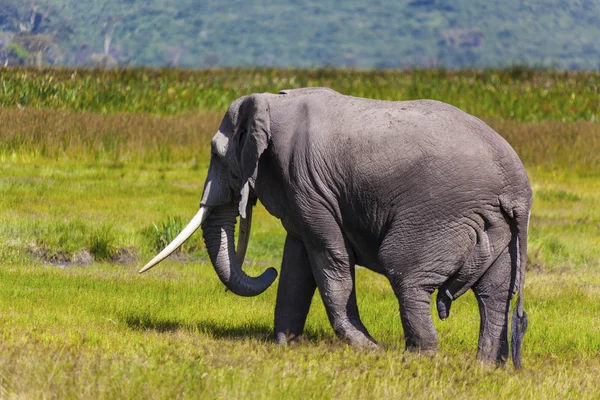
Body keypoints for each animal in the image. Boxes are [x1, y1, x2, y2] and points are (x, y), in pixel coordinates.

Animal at [139, 88, 528, 368]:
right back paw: (485, 367)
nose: (266, 270)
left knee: (408, 276)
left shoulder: (307, 183)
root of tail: (518, 188)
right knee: (494, 294)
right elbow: (296, 266)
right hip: (497, 226)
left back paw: (417, 359)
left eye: (218, 154)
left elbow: (329, 259)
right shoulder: (300, 190)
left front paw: (368, 349)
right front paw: (285, 347)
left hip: (439, 213)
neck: (272, 101)